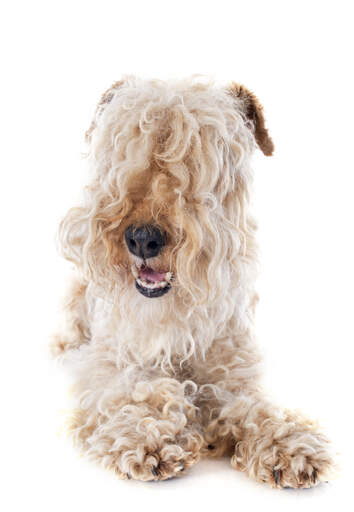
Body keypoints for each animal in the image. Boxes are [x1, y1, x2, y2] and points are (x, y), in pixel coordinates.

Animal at [52, 77, 334, 488]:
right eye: (122, 144)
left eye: (202, 151)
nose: (142, 238)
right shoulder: (112, 361)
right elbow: (141, 390)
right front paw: (151, 438)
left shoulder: (232, 367)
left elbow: (251, 404)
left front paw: (290, 446)